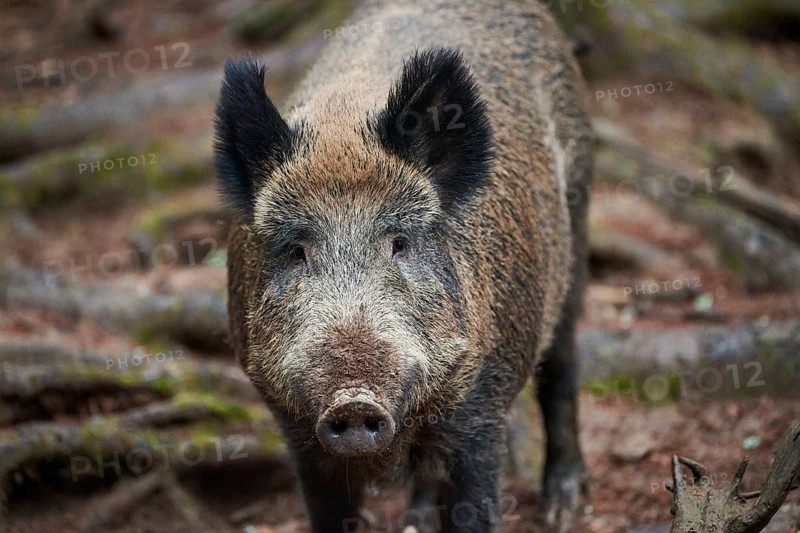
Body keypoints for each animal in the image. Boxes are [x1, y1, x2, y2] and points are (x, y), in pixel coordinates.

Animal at [215, 0, 591, 530]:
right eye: (296, 250)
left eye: (399, 243)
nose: (354, 398)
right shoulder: (295, 428)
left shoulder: (481, 410)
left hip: (577, 219)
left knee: (562, 362)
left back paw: (564, 508)